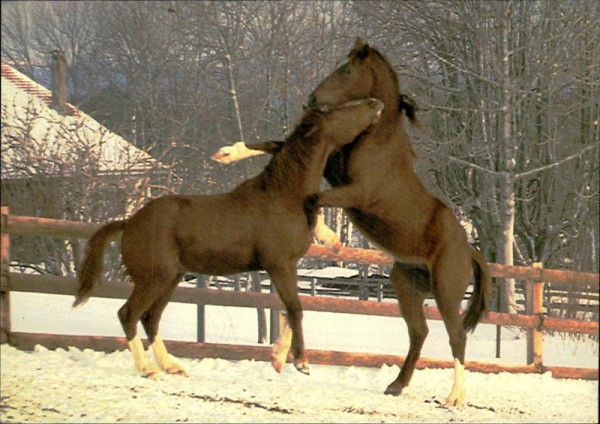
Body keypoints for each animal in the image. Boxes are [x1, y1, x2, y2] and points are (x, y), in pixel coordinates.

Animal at [74, 98, 384, 378]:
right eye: (338, 111)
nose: (376, 103)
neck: (283, 196)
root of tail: (129, 222)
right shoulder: (279, 264)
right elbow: (295, 308)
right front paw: (300, 362)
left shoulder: (288, 265)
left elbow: (290, 308)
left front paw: (278, 358)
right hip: (153, 279)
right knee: (128, 314)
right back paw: (148, 369)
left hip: (169, 279)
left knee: (151, 318)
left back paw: (172, 366)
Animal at [302, 38, 490, 406]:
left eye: (347, 71)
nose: (313, 99)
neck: (378, 142)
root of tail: (469, 250)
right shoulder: (335, 172)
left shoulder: (356, 193)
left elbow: (317, 198)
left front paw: (327, 237)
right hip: (406, 286)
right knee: (419, 332)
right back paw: (397, 385)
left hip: (446, 293)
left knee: (457, 337)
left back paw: (454, 397)